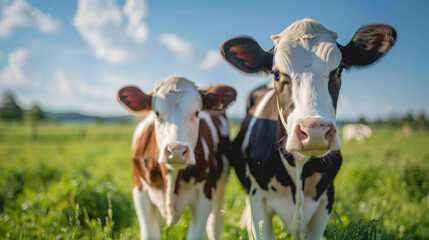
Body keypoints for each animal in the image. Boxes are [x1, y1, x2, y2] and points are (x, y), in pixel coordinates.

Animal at [117, 76, 236, 240]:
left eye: (197, 113)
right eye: (156, 113)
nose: (176, 150)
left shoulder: (206, 193)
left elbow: (197, 234)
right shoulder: (139, 189)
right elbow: (150, 234)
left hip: (222, 182)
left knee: (215, 223)